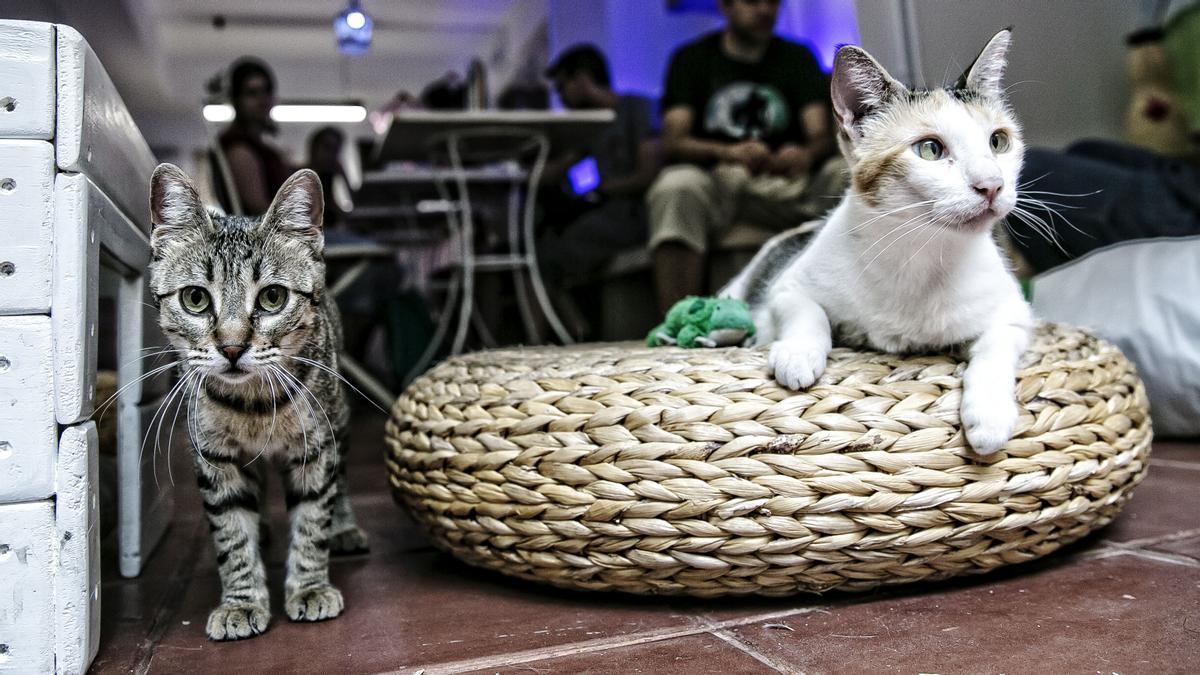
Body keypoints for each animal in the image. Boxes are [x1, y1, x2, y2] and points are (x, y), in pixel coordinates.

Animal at [148, 163, 364, 634]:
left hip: (338, 417)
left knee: (341, 481)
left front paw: (310, 587)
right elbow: (231, 533)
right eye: (195, 298)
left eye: (272, 297)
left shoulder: (316, 447)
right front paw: (241, 601)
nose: (231, 347)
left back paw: (344, 526)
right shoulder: (214, 455)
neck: (253, 407)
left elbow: (313, 519)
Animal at [720, 28, 1032, 454]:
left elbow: (996, 345)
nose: (992, 185)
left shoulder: (1015, 312)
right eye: (930, 149)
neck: (920, 252)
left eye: (998, 142)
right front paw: (799, 353)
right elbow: (807, 311)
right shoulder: (786, 287)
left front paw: (989, 414)